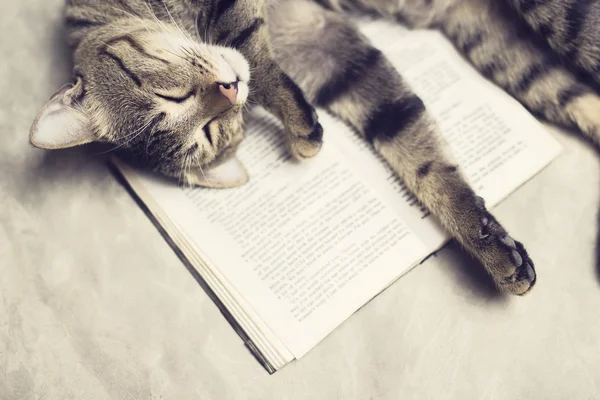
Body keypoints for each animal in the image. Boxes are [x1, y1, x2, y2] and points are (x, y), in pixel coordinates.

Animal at [30, 0, 600, 296]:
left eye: (173, 98)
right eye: (211, 132)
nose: (229, 91)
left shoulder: (239, 16)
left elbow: (252, 50)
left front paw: (296, 123)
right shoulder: (328, 48)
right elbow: (423, 158)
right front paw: (490, 244)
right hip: (511, 53)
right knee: (575, 94)